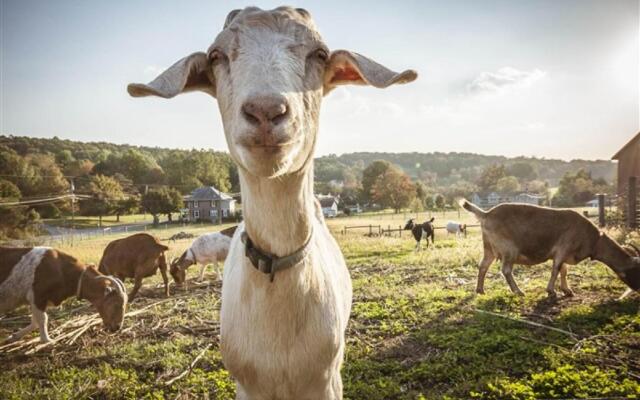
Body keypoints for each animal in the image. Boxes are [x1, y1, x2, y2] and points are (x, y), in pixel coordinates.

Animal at [460, 199, 640, 296]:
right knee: (506, 270)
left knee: (483, 265)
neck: (594, 240)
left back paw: (480, 290)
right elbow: (556, 269)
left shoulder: (565, 253)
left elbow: (564, 271)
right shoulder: (562, 250)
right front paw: (551, 291)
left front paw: (567, 290)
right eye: (637, 270)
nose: (638, 290)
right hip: (509, 250)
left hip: (489, 248)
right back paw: (518, 291)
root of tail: (486, 214)